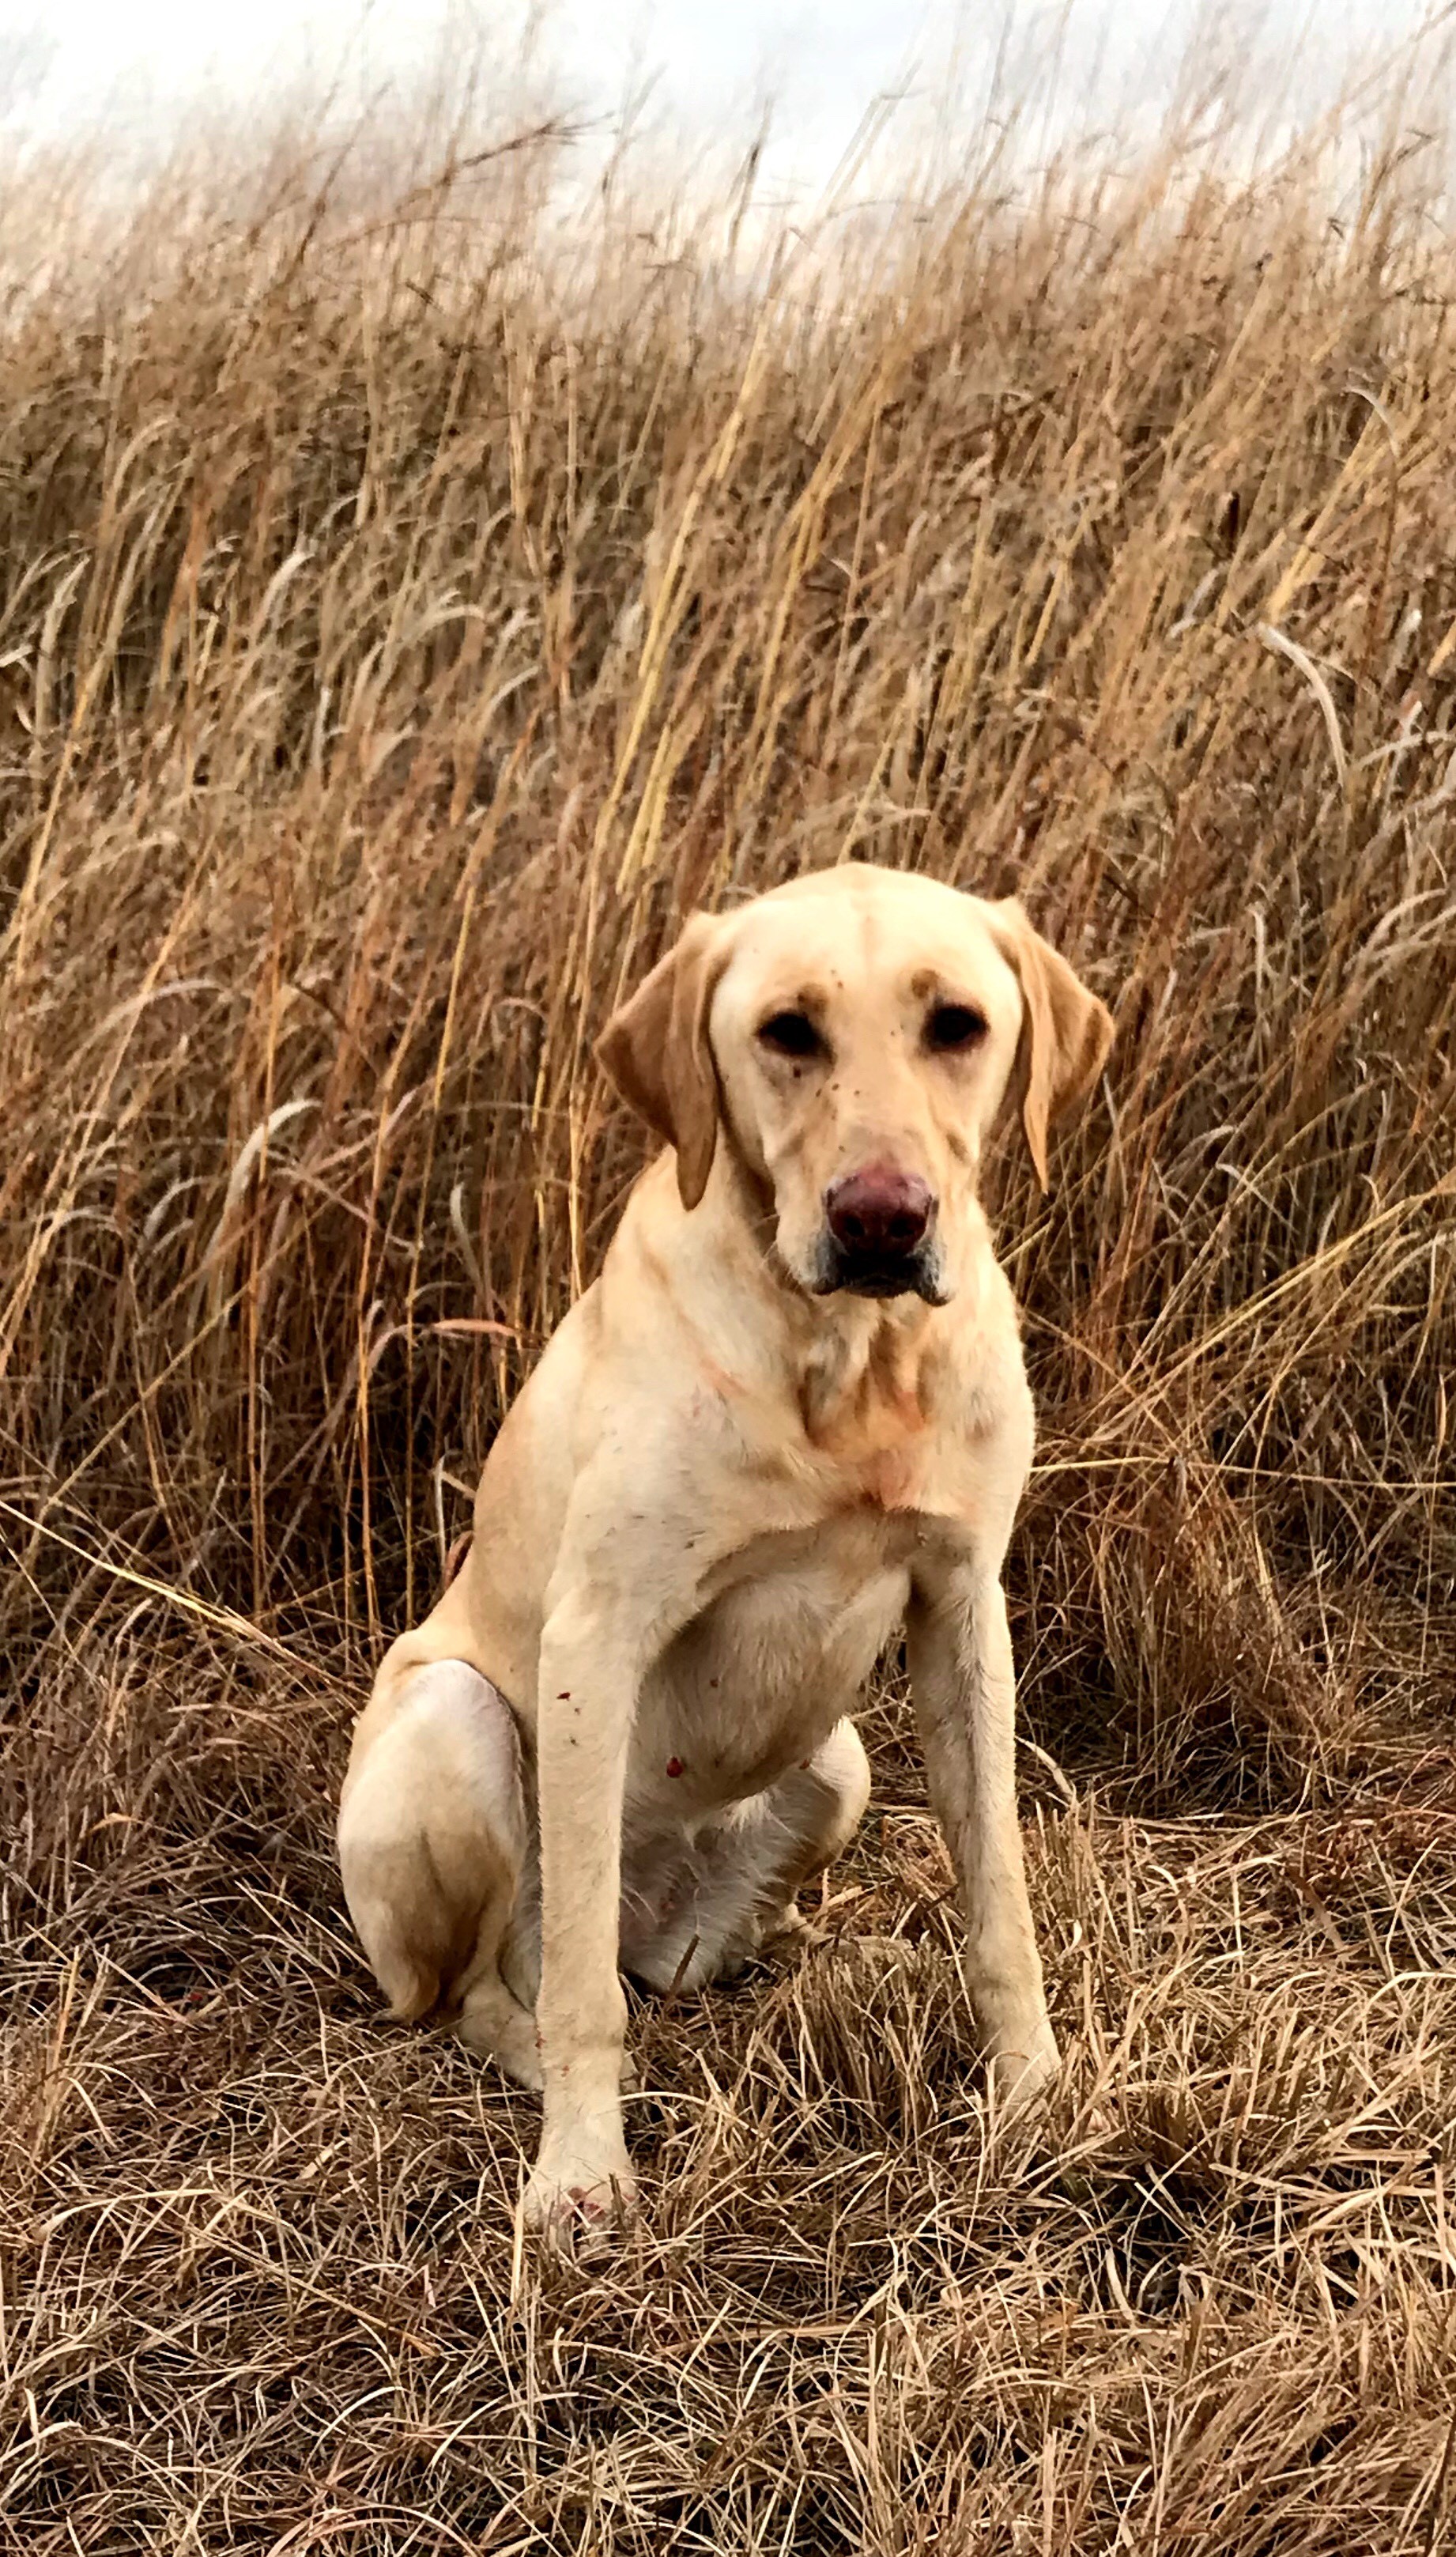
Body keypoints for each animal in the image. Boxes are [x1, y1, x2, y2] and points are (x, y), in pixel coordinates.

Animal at [339, 864, 1108, 2239]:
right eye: (785, 1030)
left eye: (957, 1025)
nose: (881, 1220)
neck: (850, 1361)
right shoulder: (594, 1636)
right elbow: (583, 1999)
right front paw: (583, 2167)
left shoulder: (964, 1610)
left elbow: (1000, 1899)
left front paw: (1031, 2090)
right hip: (453, 1716)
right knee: (496, 1987)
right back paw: (543, 2061)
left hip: (838, 1765)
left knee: (659, 1961)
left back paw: (810, 1959)